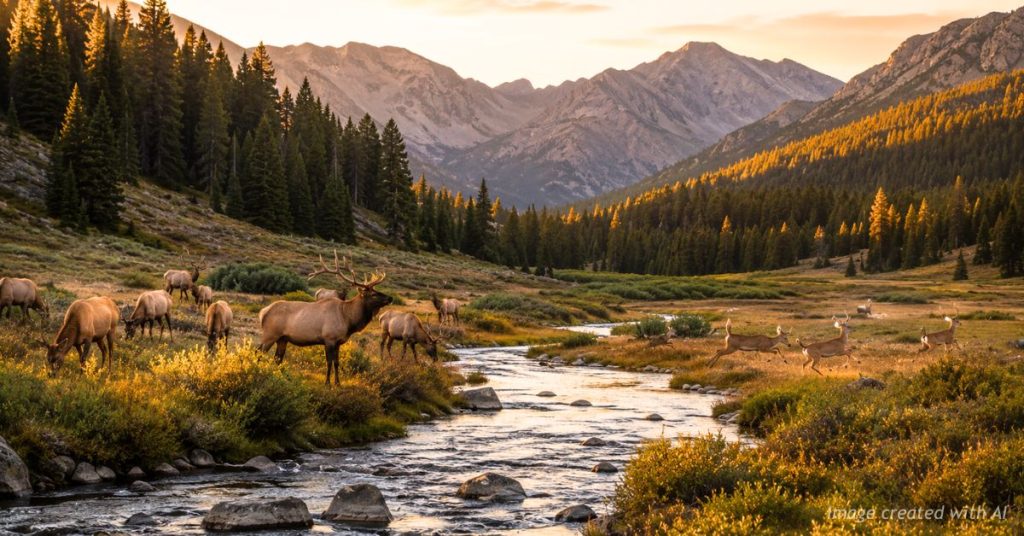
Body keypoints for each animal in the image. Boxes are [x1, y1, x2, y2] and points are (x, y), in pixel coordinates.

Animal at [258, 251, 393, 385]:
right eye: (373, 294)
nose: (390, 298)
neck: (348, 319)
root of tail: (263, 313)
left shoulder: (338, 342)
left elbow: (337, 362)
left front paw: (338, 383)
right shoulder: (329, 338)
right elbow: (328, 362)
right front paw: (327, 383)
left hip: (282, 338)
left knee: (277, 358)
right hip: (270, 334)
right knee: (259, 353)